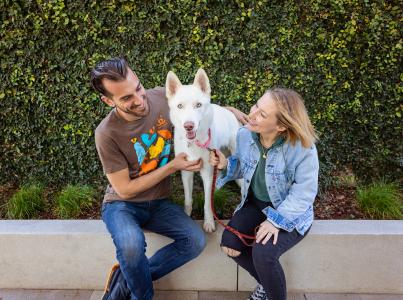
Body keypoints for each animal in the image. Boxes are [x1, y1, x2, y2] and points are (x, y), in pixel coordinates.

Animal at [166, 69, 241, 232]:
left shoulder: (207, 172)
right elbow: (188, 199)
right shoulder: (186, 172)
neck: (195, 143)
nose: (188, 126)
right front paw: (186, 217)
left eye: (198, 105)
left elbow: (207, 203)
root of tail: (230, 113)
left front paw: (209, 222)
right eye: (180, 106)